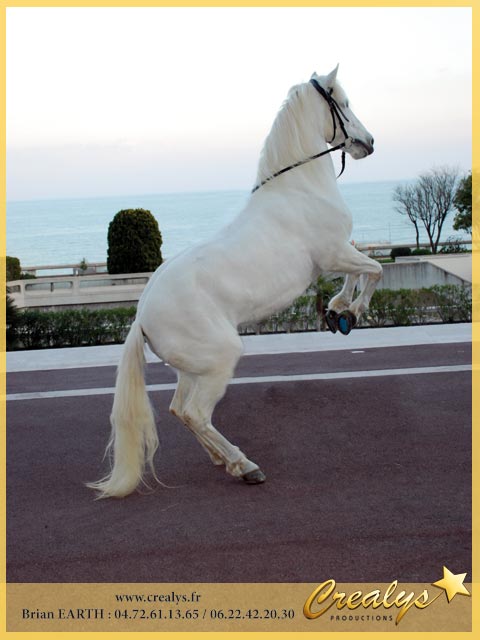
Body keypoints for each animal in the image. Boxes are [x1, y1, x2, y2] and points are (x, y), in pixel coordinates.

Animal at [87, 65, 382, 499]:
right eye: (343, 104)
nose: (368, 143)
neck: (300, 188)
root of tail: (141, 318)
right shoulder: (332, 252)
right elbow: (374, 269)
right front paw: (353, 312)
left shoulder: (335, 255)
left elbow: (358, 270)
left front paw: (338, 311)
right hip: (219, 361)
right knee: (195, 412)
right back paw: (245, 465)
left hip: (193, 369)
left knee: (179, 410)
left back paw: (221, 458)